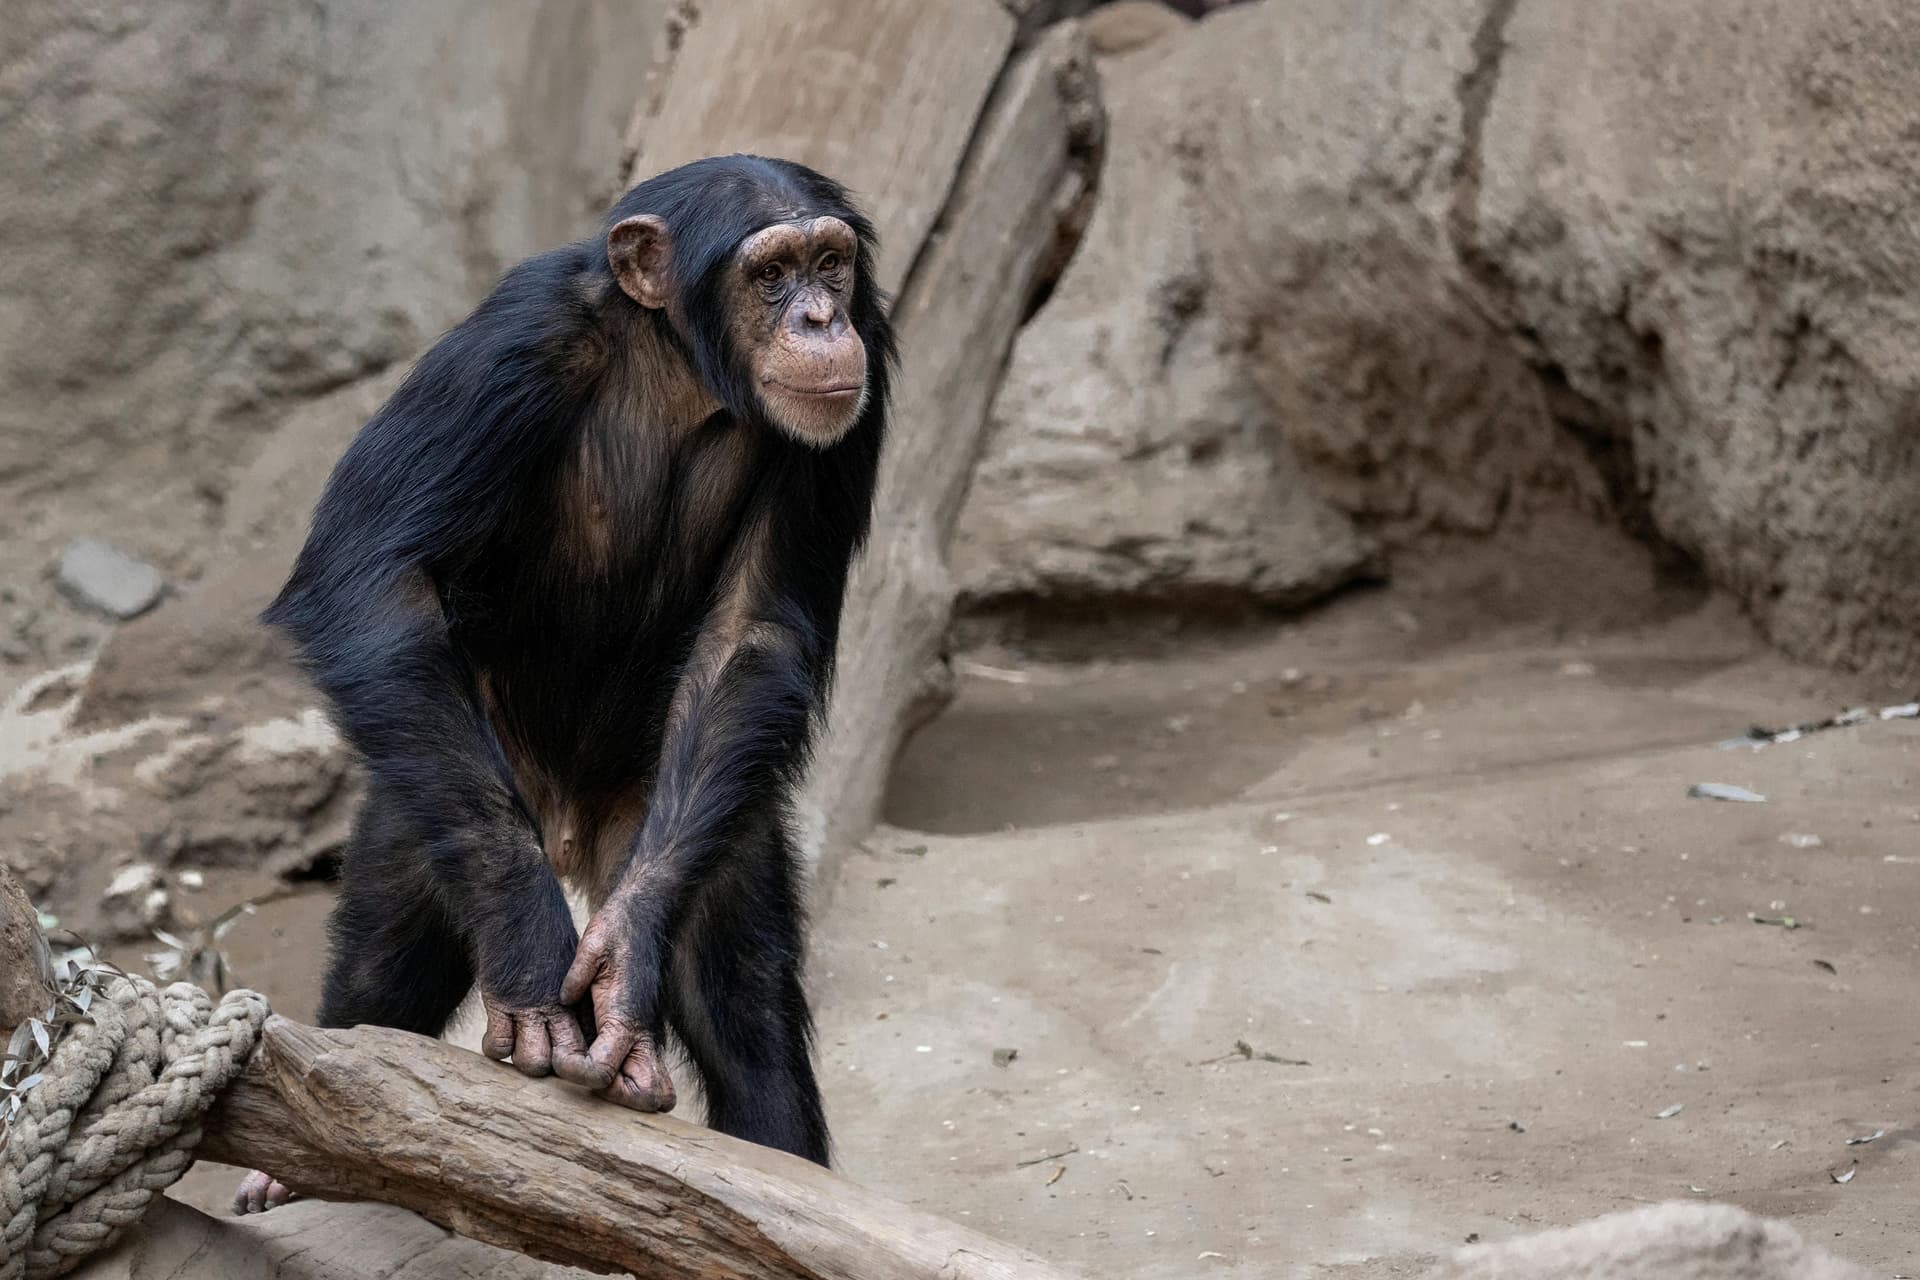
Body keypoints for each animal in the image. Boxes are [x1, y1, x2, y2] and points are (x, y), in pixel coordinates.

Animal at [233, 154, 894, 1213]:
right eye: (769, 275)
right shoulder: (513, 342)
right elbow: (371, 573)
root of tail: (576, 832)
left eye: (831, 265)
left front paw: (621, 960)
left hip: (682, 813)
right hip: (450, 768)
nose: (820, 320)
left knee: (743, 999)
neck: (679, 369)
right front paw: (534, 958)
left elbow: (750, 630)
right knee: (389, 950)